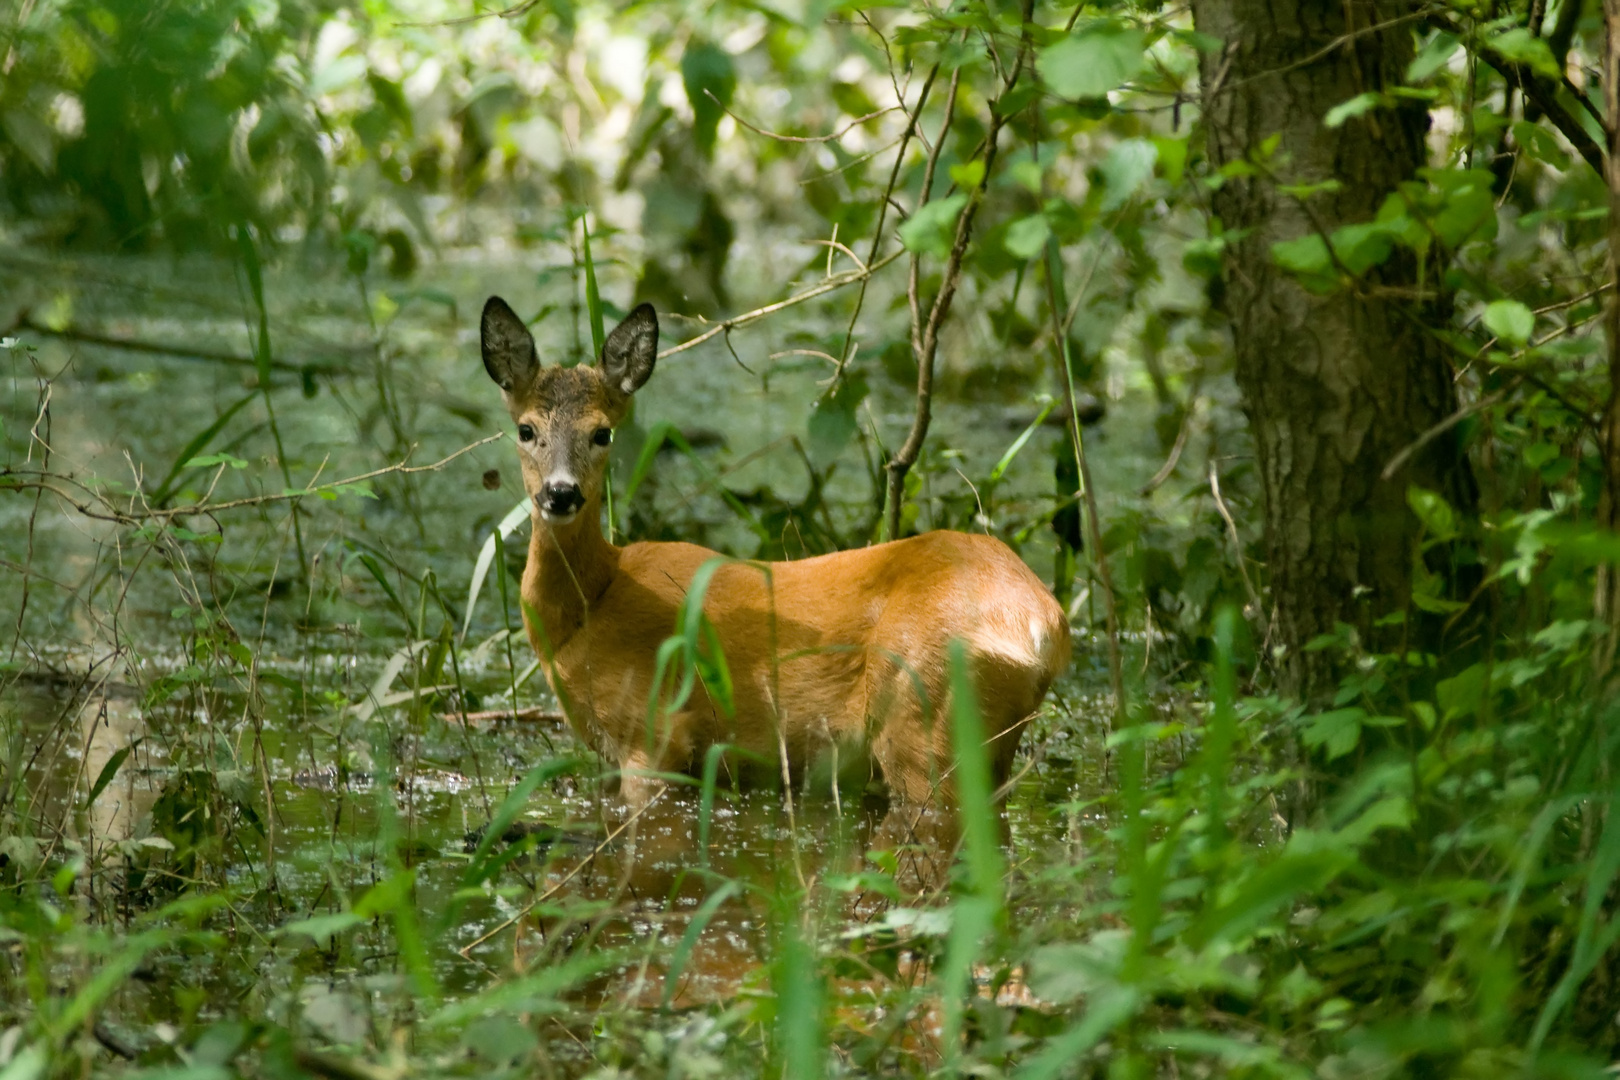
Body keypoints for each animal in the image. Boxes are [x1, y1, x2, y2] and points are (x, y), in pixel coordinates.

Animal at [473, 296, 1069, 819]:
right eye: (526, 429)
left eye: (602, 433)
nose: (560, 493)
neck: (590, 605)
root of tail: (1041, 620)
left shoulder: (654, 733)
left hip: (923, 715)